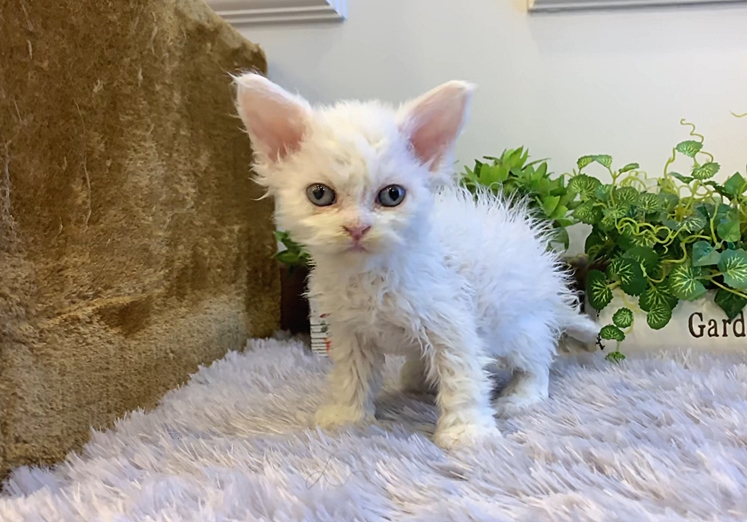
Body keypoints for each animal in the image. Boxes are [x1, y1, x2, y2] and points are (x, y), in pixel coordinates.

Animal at [233, 73, 600, 449]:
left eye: (392, 195)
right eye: (320, 194)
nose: (357, 228)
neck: (371, 274)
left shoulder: (452, 324)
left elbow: (462, 377)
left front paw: (468, 432)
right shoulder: (351, 331)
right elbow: (351, 375)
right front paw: (347, 416)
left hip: (517, 326)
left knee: (538, 358)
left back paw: (522, 395)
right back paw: (417, 378)